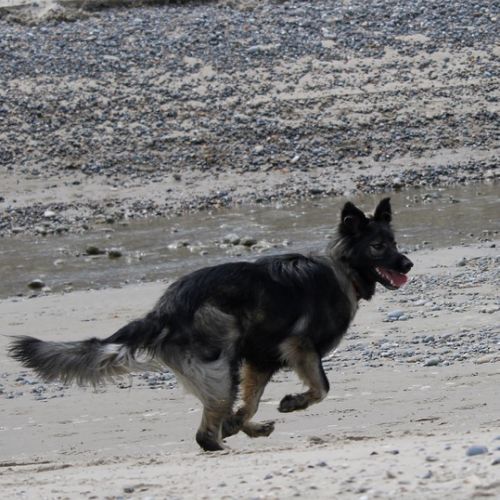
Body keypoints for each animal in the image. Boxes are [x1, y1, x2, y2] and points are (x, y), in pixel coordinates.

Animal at [9, 198, 413, 451]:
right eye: (378, 246)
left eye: (394, 242)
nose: (408, 264)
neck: (343, 269)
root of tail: (163, 310)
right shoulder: (300, 347)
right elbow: (322, 388)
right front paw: (293, 402)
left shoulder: (261, 360)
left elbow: (251, 403)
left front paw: (245, 422)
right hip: (221, 365)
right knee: (204, 435)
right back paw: (223, 443)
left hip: (224, 369)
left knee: (219, 415)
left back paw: (240, 430)